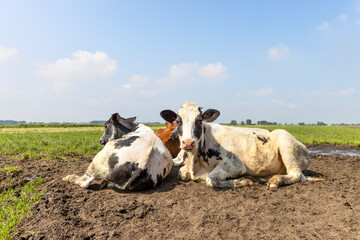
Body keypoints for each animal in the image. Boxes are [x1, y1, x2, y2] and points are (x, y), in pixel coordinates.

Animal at [162, 102, 320, 188]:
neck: (195, 162)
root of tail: (301, 145)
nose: (188, 143)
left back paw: (275, 180)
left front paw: (244, 181)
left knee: (297, 175)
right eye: (178, 121)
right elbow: (181, 173)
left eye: (199, 120)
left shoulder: (235, 164)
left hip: (286, 143)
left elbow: (210, 180)